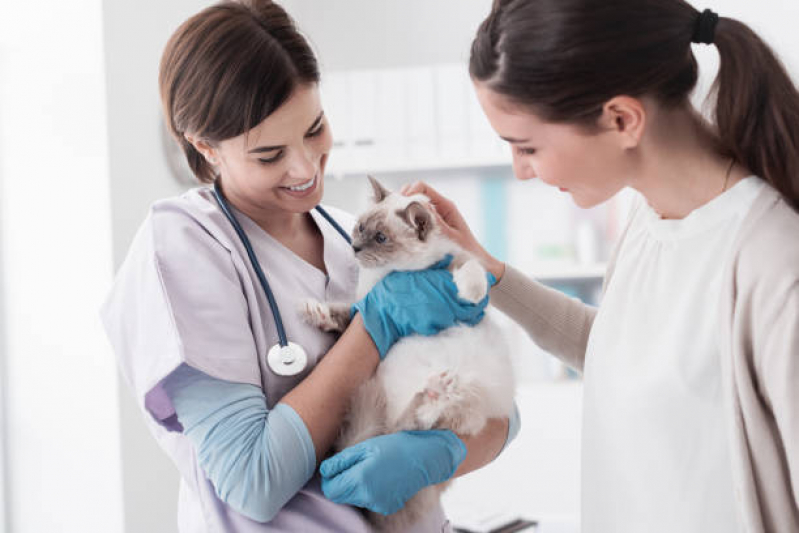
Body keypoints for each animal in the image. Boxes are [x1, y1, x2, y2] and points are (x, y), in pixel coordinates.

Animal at [302, 177, 520, 528]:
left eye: (380, 238)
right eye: (360, 227)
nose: (355, 247)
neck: (395, 275)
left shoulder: (456, 261)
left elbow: (471, 270)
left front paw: (469, 294)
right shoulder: (364, 311)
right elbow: (342, 314)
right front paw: (315, 312)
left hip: (469, 400)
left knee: (419, 428)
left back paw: (434, 395)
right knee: (407, 427)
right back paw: (430, 395)